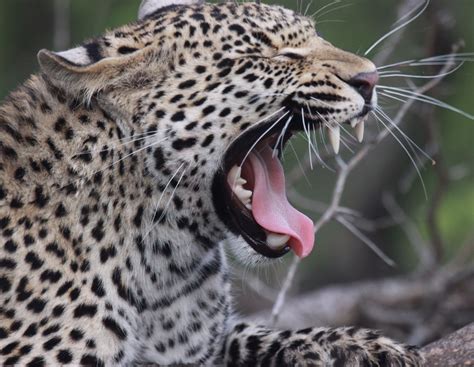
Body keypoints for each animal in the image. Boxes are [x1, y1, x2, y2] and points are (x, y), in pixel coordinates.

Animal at [0, 0, 422, 366]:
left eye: (316, 36)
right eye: (275, 56)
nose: (370, 78)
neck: (161, 267)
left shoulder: (203, 348)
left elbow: (263, 334)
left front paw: (365, 346)